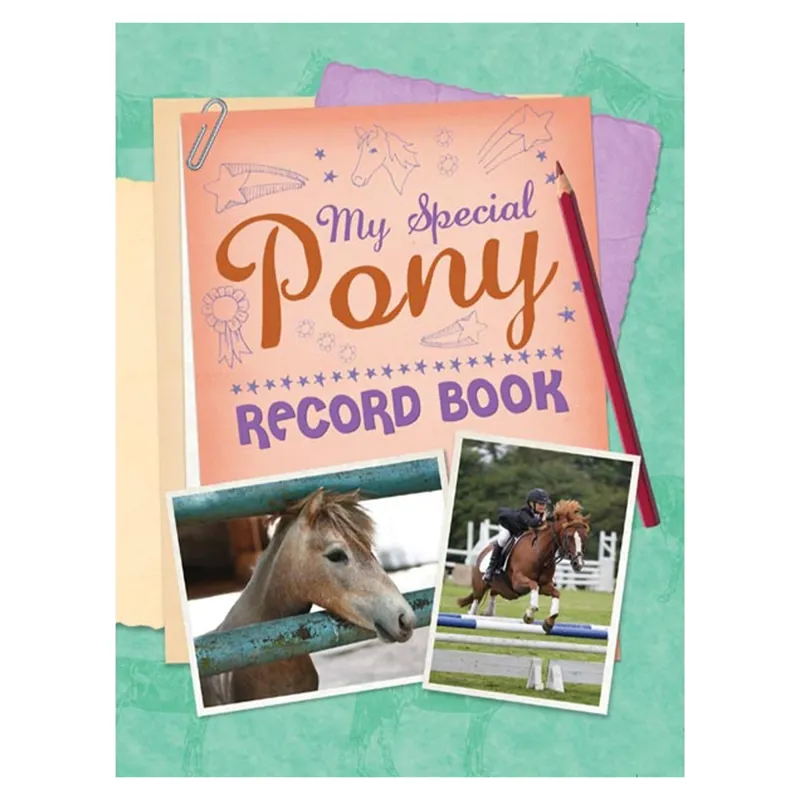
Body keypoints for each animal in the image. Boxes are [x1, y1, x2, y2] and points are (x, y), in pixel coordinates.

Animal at [456, 499, 591, 632]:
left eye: (585, 537)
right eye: (569, 536)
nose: (578, 564)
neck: (540, 553)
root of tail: (481, 553)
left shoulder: (545, 586)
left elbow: (556, 594)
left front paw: (549, 622)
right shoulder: (518, 580)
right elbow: (533, 585)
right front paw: (529, 615)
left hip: (499, 589)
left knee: (492, 595)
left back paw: (488, 612)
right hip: (480, 587)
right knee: (474, 605)